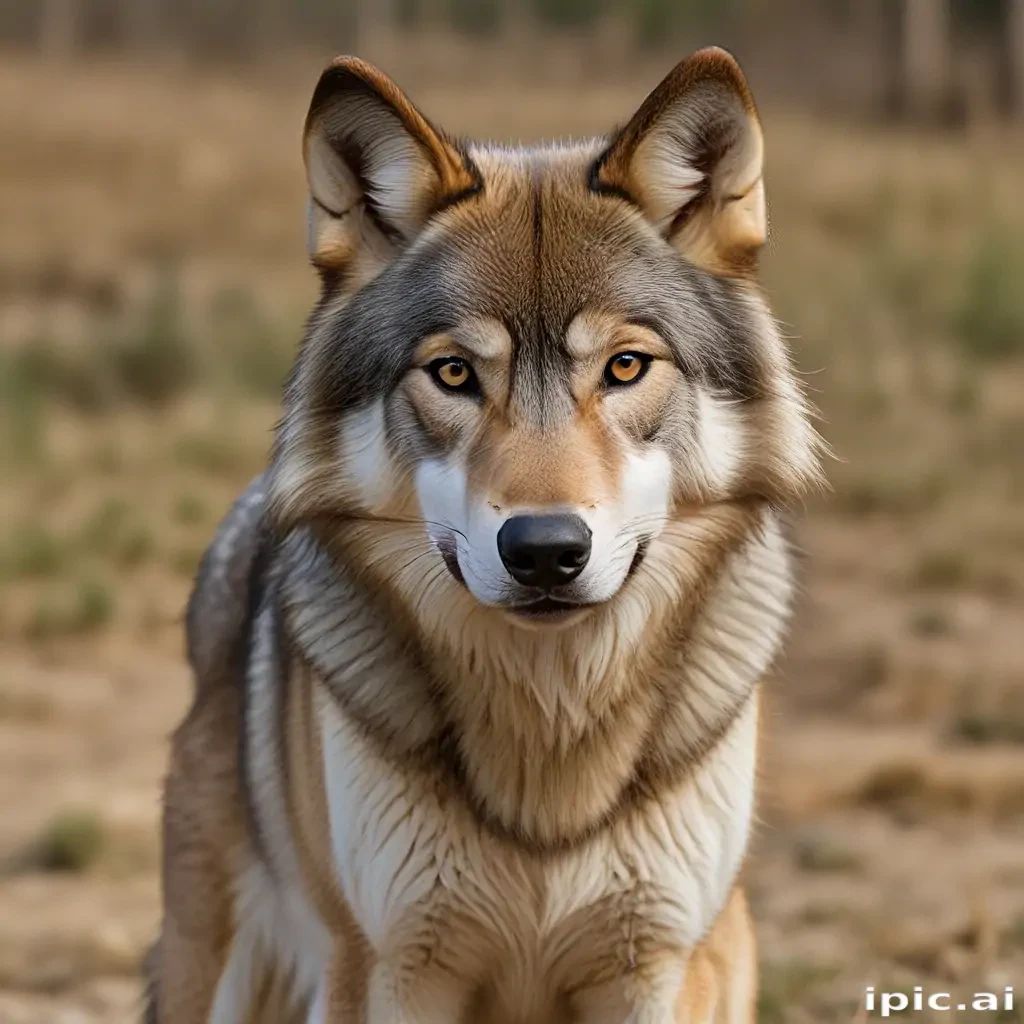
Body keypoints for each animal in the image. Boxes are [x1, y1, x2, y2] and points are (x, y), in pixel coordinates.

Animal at [147, 46, 822, 1023]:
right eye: (456, 374)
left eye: (626, 367)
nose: (544, 550)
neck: (548, 745)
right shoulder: (389, 967)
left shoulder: (654, 965)